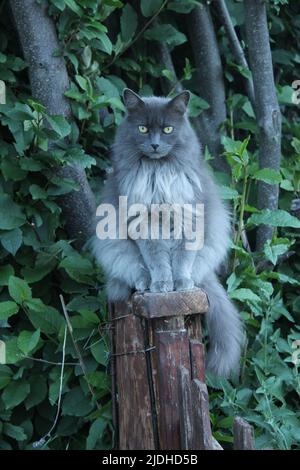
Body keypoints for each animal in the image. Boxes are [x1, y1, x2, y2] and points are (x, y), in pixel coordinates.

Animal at [90, 88, 243, 376]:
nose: (154, 145)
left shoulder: (189, 219)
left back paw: (189, 283)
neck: (157, 173)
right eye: (142, 128)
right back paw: (145, 283)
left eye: (168, 129)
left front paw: (179, 283)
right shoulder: (143, 224)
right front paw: (162, 285)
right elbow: (157, 260)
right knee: (135, 271)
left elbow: (181, 258)